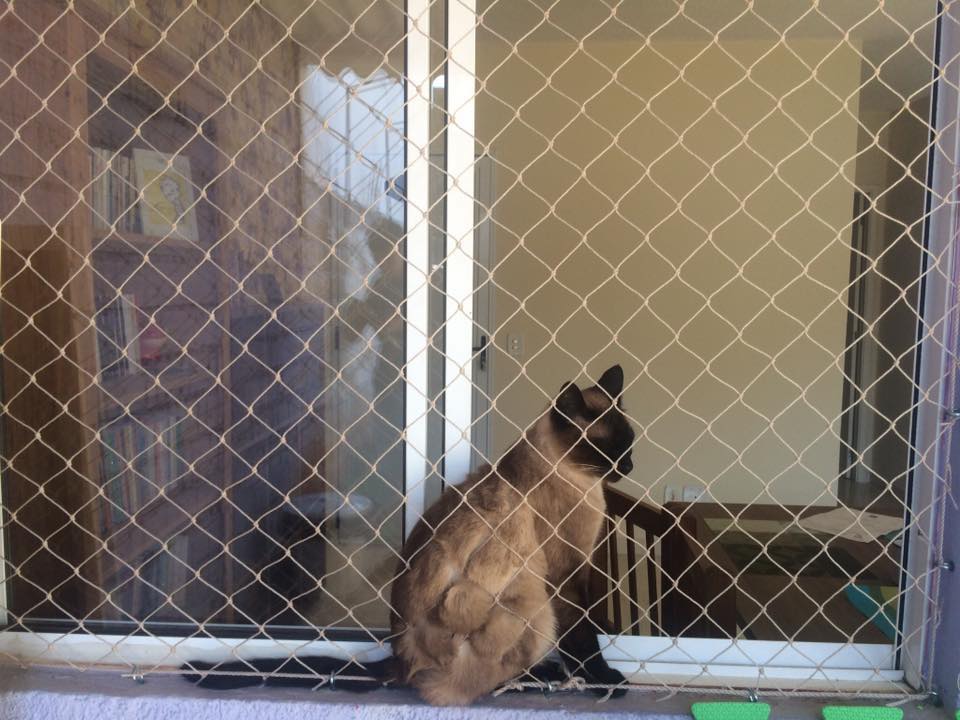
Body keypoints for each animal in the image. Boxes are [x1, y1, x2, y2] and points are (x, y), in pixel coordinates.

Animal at [186, 364, 635, 706]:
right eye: (607, 450)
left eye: (629, 442)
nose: (628, 466)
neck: (578, 483)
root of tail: (398, 658)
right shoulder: (565, 580)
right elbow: (584, 638)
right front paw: (607, 681)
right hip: (532, 604)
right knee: (453, 689)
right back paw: (529, 678)